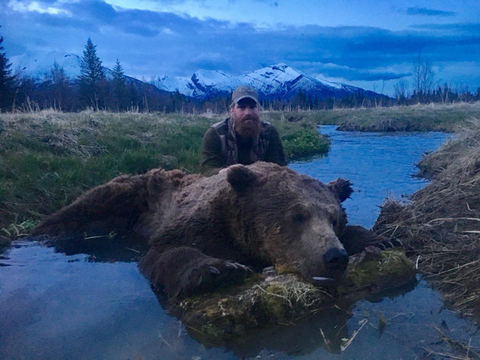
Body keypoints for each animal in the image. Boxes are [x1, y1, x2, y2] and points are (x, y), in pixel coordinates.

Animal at [31, 162, 388, 300]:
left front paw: (377, 237)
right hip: (122, 196)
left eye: (334, 218)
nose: (333, 257)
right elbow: (165, 252)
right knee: (76, 210)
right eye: (297, 216)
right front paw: (220, 269)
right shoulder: (194, 224)